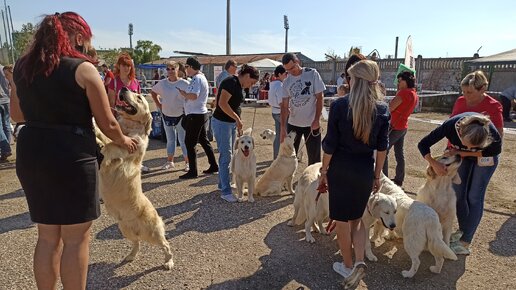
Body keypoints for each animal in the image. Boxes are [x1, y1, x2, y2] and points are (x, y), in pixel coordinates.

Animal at [98, 88, 174, 270]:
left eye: (139, 97)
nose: (124, 88)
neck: (128, 129)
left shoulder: (122, 148)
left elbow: (110, 143)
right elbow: (107, 137)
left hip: (152, 233)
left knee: (166, 245)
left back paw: (169, 262)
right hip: (125, 229)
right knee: (136, 243)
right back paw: (130, 256)